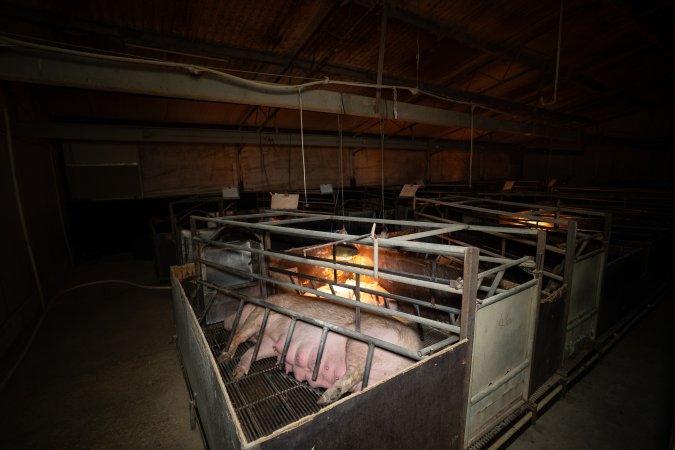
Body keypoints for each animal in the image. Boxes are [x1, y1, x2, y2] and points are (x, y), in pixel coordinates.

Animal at [220, 294, 422, 406]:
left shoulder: (262, 314)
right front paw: (236, 373)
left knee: (355, 372)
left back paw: (324, 398)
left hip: (361, 343)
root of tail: (414, 350)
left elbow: (240, 336)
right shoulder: (270, 342)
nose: (225, 322)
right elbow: (249, 351)